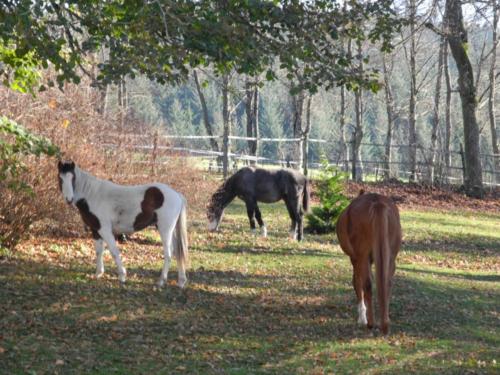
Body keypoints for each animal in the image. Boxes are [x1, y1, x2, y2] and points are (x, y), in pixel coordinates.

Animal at [56, 161, 188, 288]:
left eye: (73, 178)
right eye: (60, 178)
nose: (69, 199)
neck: (92, 195)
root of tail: (177, 194)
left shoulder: (105, 230)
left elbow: (114, 251)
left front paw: (122, 276)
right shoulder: (96, 231)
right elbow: (99, 251)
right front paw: (98, 273)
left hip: (165, 230)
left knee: (168, 254)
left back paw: (161, 281)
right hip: (171, 230)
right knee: (178, 252)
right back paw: (181, 282)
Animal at [336, 192, 402, 336]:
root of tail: (376, 202)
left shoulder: (355, 259)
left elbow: (357, 283)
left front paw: (362, 318)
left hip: (362, 257)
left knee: (366, 284)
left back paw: (370, 323)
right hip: (390, 257)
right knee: (386, 283)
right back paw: (385, 323)